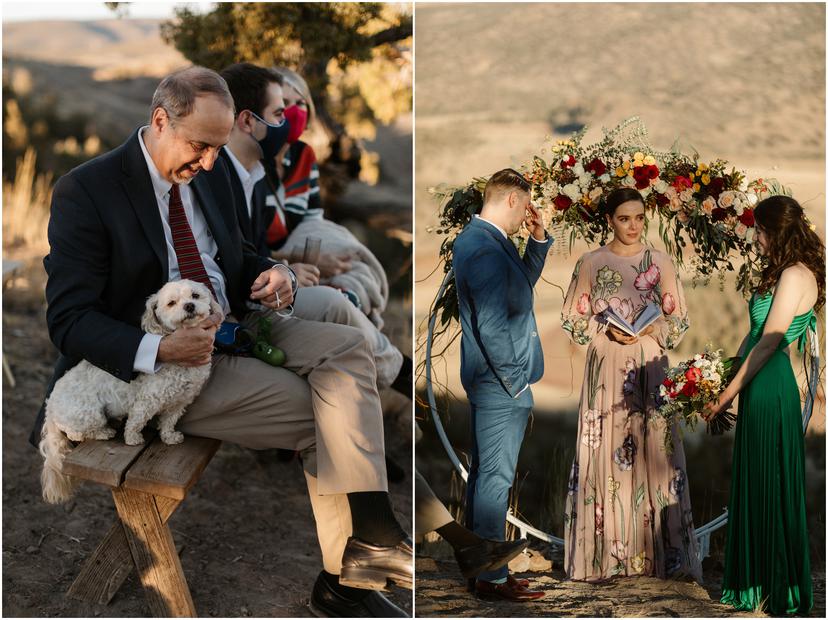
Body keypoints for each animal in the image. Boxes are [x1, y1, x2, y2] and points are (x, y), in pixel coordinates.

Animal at [40, 280, 222, 504]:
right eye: (171, 303)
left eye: (195, 296)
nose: (189, 306)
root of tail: (50, 405)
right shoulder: (147, 400)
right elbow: (136, 421)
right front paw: (133, 438)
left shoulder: (180, 402)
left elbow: (169, 421)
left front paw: (169, 437)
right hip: (88, 413)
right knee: (77, 432)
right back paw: (104, 432)